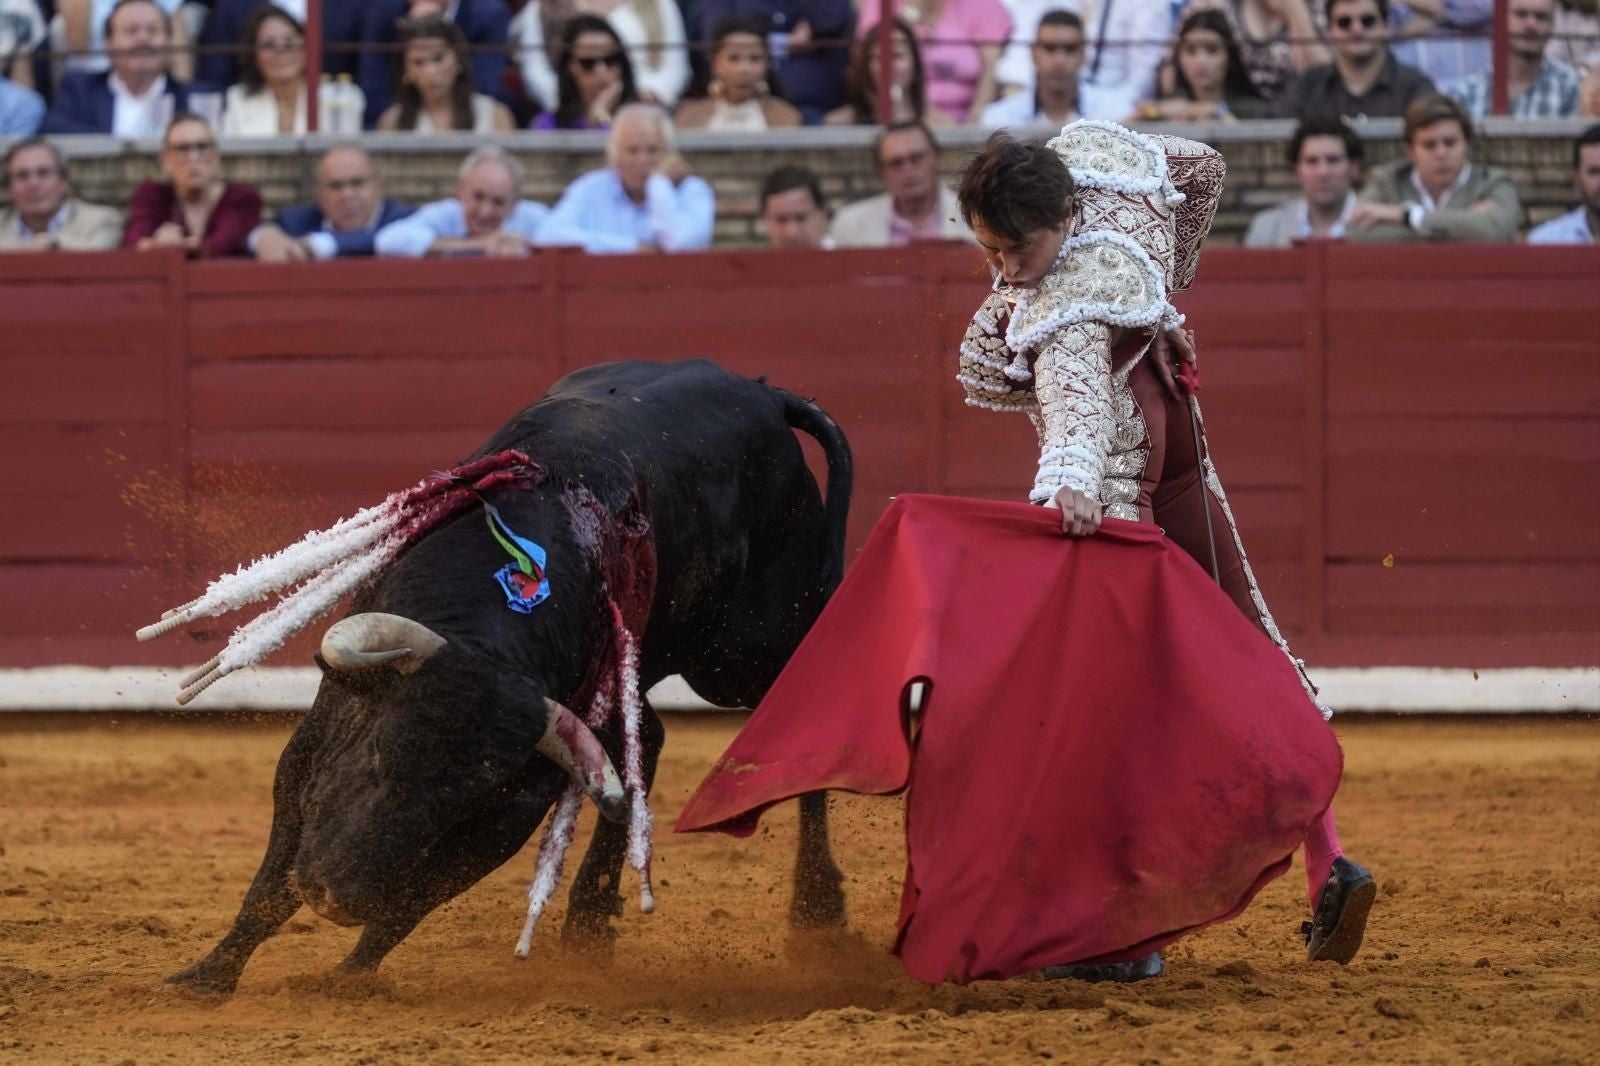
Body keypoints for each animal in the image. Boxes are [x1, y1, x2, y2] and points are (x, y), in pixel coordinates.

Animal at [168, 361, 857, 992]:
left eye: (467, 797)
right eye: (379, 755)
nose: (338, 895)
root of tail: (765, 394)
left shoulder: (513, 807)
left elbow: (412, 902)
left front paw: (347, 977)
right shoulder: (319, 737)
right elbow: (273, 878)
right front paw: (207, 977)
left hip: (741, 655)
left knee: (800, 700)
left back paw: (817, 911)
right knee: (652, 738)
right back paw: (589, 923)